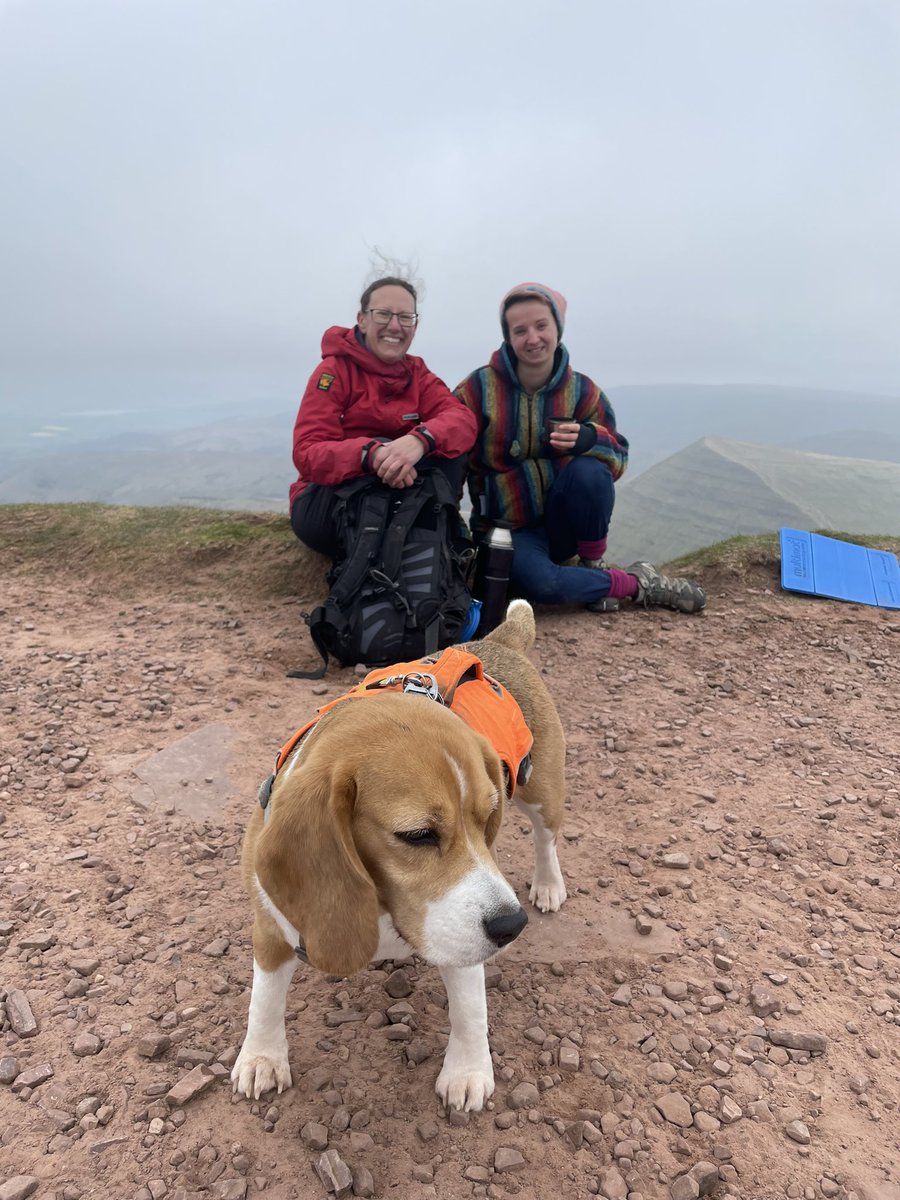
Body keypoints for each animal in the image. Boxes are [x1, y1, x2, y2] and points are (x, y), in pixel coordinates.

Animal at [234, 600, 571, 1113]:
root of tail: (496, 641)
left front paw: (468, 1072)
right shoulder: (272, 926)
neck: (380, 904)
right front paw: (261, 1057)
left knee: (546, 838)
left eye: (487, 819)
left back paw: (549, 885)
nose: (511, 926)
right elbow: (264, 1000)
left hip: (542, 791)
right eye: (417, 835)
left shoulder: (460, 933)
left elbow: (470, 1011)